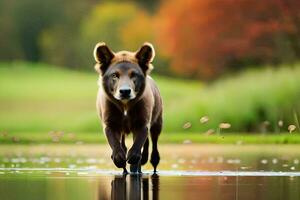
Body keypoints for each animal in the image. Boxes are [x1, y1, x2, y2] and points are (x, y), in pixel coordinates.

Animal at [94, 42, 163, 173]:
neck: (125, 105)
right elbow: (114, 143)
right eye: (115, 75)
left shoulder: (142, 122)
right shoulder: (110, 123)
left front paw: (133, 158)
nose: (125, 91)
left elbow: (138, 144)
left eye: (134, 75)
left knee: (154, 145)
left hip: (158, 122)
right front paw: (119, 158)